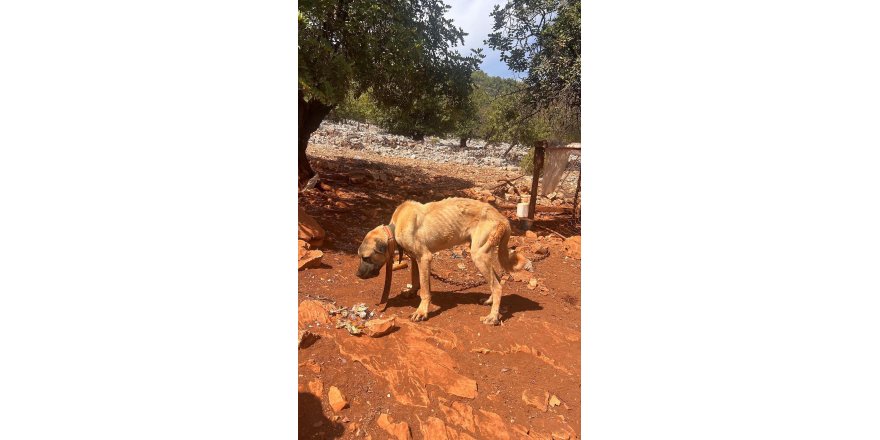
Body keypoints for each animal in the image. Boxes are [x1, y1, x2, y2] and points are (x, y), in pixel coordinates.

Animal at [356, 198, 532, 324]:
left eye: (366, 258)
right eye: (359, 257)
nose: (357, 275)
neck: (396, 226)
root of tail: (503, 218)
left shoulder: (425, 257)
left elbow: (425, 291)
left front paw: (421, 312)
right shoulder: (415, 258)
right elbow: (416, 280)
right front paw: (412, 292)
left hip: (478, 255)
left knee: (497, 286)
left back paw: (493, 317)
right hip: (482, 253)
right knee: (496, 280)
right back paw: (489, 301)